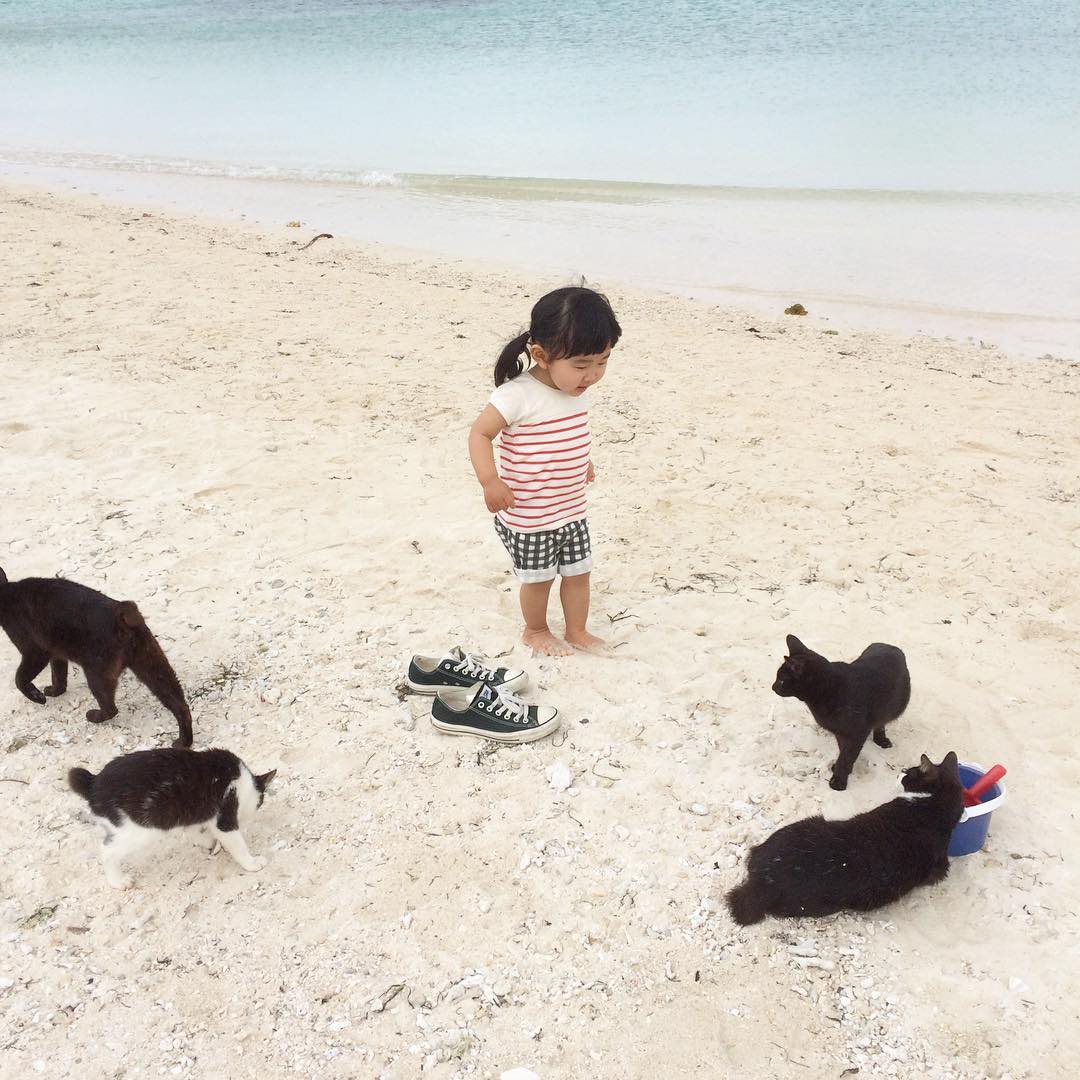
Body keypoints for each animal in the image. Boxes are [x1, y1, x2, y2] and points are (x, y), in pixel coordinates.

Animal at [0, 570, 192, 747]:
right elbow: (59, 676)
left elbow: (20, 679)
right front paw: (54, 691)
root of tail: (120, 613)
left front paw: (38, 697)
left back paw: (93, 716)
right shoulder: (57, 653)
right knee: (180, 704)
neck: (7, 594)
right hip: (152, 666)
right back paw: (184, 742)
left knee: (111, 708)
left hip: (96, 674)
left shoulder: (35, 651)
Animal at [68, 747, 276, 889]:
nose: (250, 817)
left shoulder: (194, 812)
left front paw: (208, 842)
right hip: (138, 830)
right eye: (260, 802)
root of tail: (93, 783)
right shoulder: (224, 815)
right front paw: (252, 863)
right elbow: (237, 845)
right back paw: (118, 881)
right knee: (107, 851)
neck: (243, 782)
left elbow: (194, 831)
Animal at [773, 630, 907, 794]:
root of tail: (889, 645)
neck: (829, 690)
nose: (773, 687)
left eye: (781, 681)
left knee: (881, 722)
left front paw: (839, 780)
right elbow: (843, 750)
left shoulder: (856, 733)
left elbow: (847, 755)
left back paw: (882, 739)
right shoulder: (839, 731)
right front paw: (843, 769)